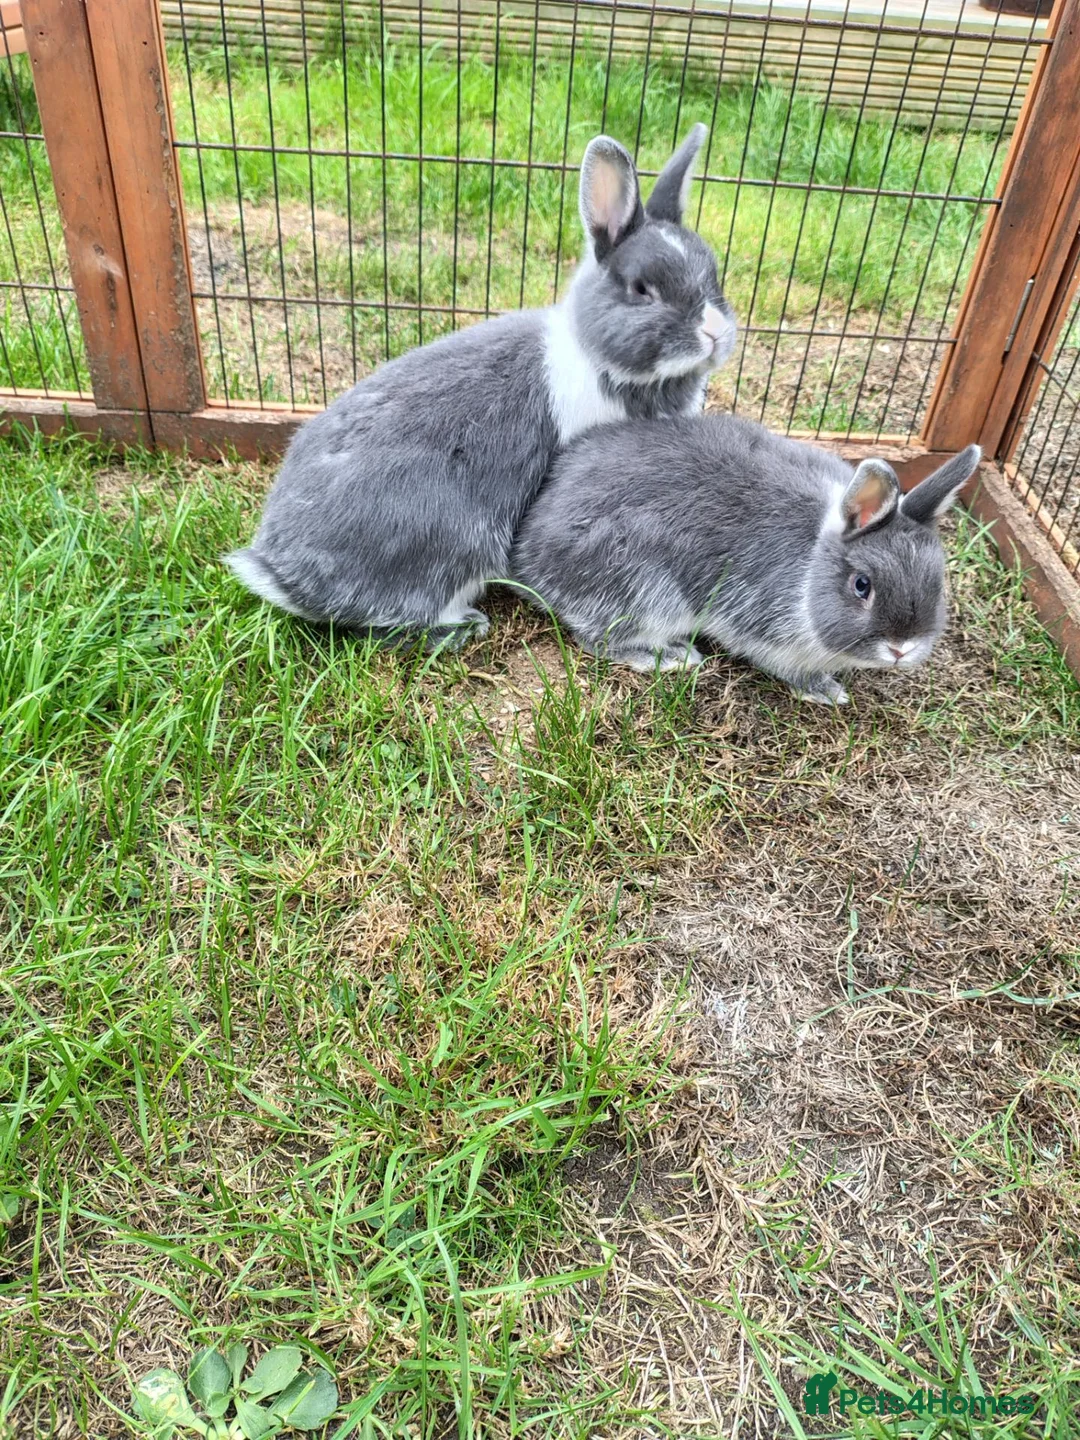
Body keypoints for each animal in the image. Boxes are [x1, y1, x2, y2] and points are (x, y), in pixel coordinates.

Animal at [224, 124, 736, 646]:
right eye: (641, 289)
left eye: (715, 275)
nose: (715, 332)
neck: (596, 355)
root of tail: (283, 574)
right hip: (453, 543)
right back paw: (465, 625)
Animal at [509, 412, 982, 703]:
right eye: (861, 585)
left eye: (938, 582)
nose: (902, 648)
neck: (812, 561)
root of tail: (528, 553)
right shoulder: (762, 629)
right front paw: (826, 691)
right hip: (644, 593)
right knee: (597, 638)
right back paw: (669, 656)